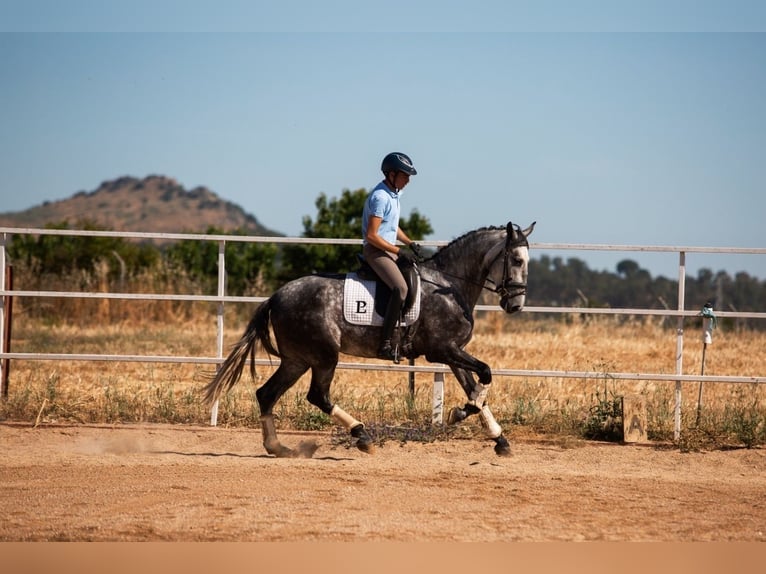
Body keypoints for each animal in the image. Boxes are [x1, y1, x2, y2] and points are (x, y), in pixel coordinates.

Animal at [207, 220, 536, 460]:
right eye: (516, 259)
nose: (515, 305)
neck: (449, 285)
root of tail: (276, 296)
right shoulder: (441, 350)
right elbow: (485, 374)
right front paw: (460, 414)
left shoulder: (454, 352)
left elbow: (476, 390)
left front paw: (498, 439)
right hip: (324, 356)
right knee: (317, 396)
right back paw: (362, 436)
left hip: (297, 359)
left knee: (267, 394)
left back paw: (278, 448)